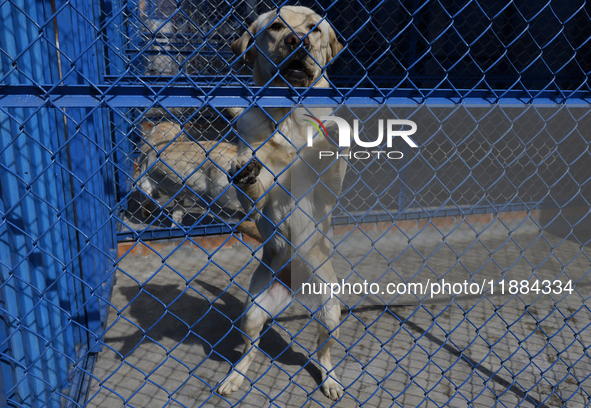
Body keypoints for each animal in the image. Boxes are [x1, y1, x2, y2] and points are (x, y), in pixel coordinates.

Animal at [216, 5, 346, 402]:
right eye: (275, 26)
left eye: (314, 29)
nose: (296, 40)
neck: (288, 116)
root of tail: (297, 287)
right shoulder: (258, 195)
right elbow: (251, 179)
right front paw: (243, 169)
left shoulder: (326, 189)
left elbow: (329, 144)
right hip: (253, 312)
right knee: (251, 348)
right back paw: (234, 376)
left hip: (330, 312)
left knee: (323, 352)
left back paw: (330, 380)